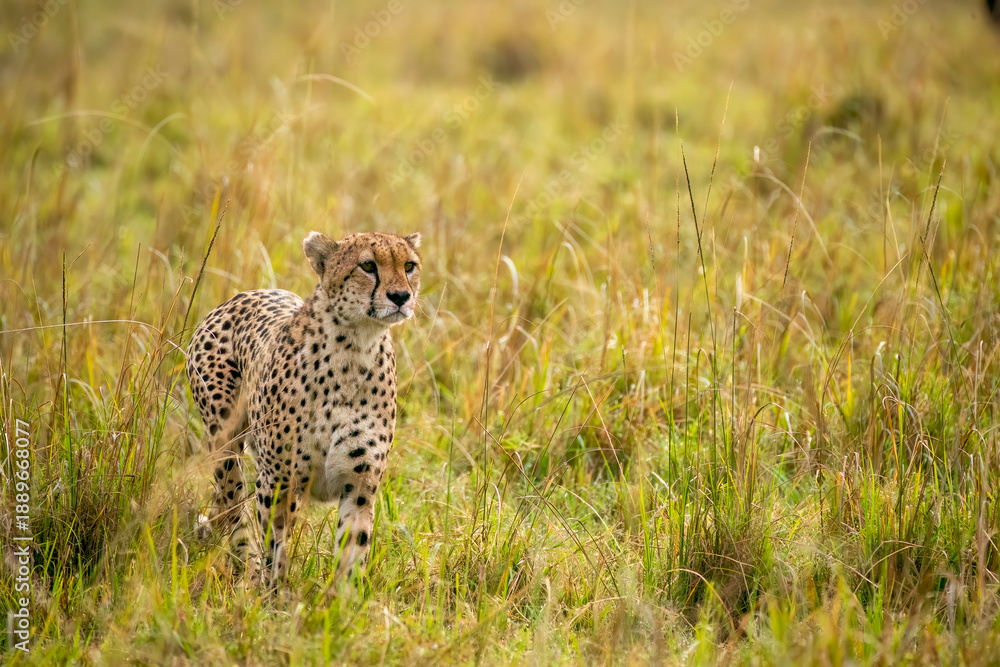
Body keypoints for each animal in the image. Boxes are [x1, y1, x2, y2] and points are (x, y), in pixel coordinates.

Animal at [185, 230, 422, 588]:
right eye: (367, 266)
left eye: (409, 265)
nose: (400, 296)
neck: (355, 346)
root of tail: (245, 294)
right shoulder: (277, 481)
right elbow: (276, 546)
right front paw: (275, 594)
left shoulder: (360, 484)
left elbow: (353, 549)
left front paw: (344, 599)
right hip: (226, 444)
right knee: (233, 508)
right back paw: (249, 569)